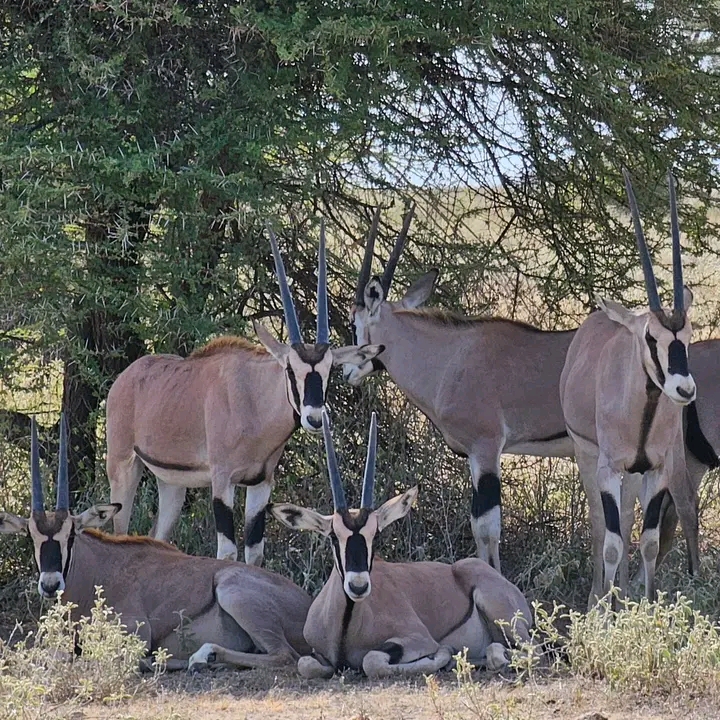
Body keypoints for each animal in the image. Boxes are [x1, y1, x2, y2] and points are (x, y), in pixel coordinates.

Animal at [0, 417, 312, 672]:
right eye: (31, 536)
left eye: (71, 534)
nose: (50, 585)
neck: (95, 572)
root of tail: (306, 603)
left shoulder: (135, 632)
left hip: (232, 591)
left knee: (285, 655)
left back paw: (202, 657)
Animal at [106, 223, 382, 563]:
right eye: (290, 369)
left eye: (330, 370)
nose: (314, 418)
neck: (254, 399)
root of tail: (127, 376)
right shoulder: (222, 480)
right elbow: (227, 551)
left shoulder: (261, 484)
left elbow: (255, 552)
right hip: (123, 467)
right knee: (119, 529)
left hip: (171, 483)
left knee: (157, 534)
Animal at [270, 410, 533, 679]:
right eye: (334, 536)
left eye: (375, 535)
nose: (358, 586)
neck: (346, 623)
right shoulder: (316, 653)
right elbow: (306, 663)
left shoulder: (418, 639)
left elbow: (372, 660)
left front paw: (442, 655)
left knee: (519, 651)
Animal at [341, 208, 576, 573]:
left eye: (356, 324)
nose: (347, 371)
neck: (450, 357)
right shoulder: (472, 457)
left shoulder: (486, 449)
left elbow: (487, 529)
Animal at [560, 169, 696, 606]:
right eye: (651, 337)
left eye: (688, 334)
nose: (684, 389)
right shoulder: (606, 468)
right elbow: (612, 543)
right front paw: (604, 612)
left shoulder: (656, 470)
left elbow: (647, 542)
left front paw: (647, 608)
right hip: (587, 456)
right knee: (601, 525)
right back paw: (599, 599)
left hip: (634, 475)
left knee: (625, 517)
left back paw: (618, 597)